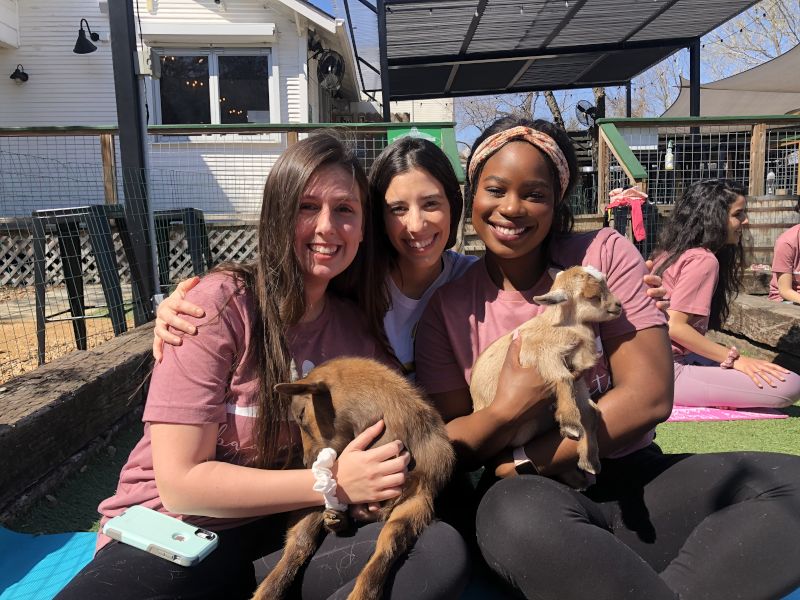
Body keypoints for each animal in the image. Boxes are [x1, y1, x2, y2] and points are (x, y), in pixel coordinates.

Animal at [256, 356, 456, 600]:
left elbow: (391, 539)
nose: (305, 462)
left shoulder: (418, 497)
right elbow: (300, 541)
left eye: (301, 414)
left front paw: (363, 593)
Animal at [472, 264, 620, 486]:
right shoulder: (542, 355)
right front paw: (570, 424)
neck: (562, 326)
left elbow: (591, 413)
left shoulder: (578, 376)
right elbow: (562, 378)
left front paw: (590, 462)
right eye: (593, 296)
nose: (618, 305)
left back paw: (577, 479)